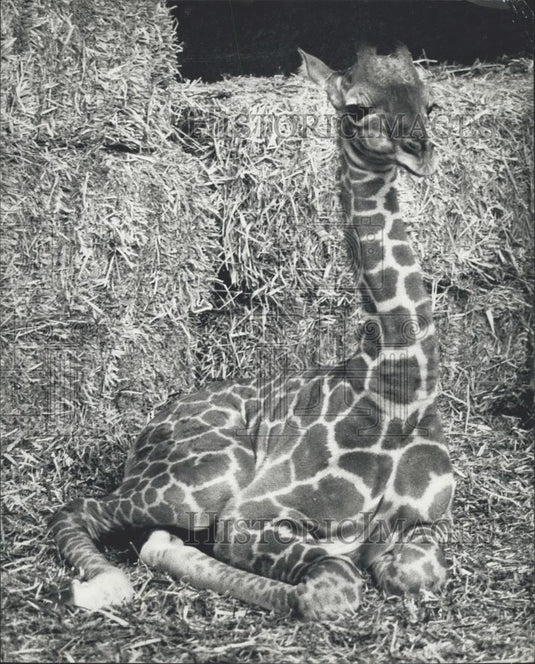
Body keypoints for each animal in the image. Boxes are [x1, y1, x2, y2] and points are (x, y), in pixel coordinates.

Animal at [50, 43, 455, 620]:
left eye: (430, 103)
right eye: (355, 109)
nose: (418, 151)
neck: (399, 390)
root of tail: (146, 431)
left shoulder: (424, 521)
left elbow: (414, 569)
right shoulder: (252, 513)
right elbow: (330, 585)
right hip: (203, 482)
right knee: (80, 511)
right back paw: (105, 581)